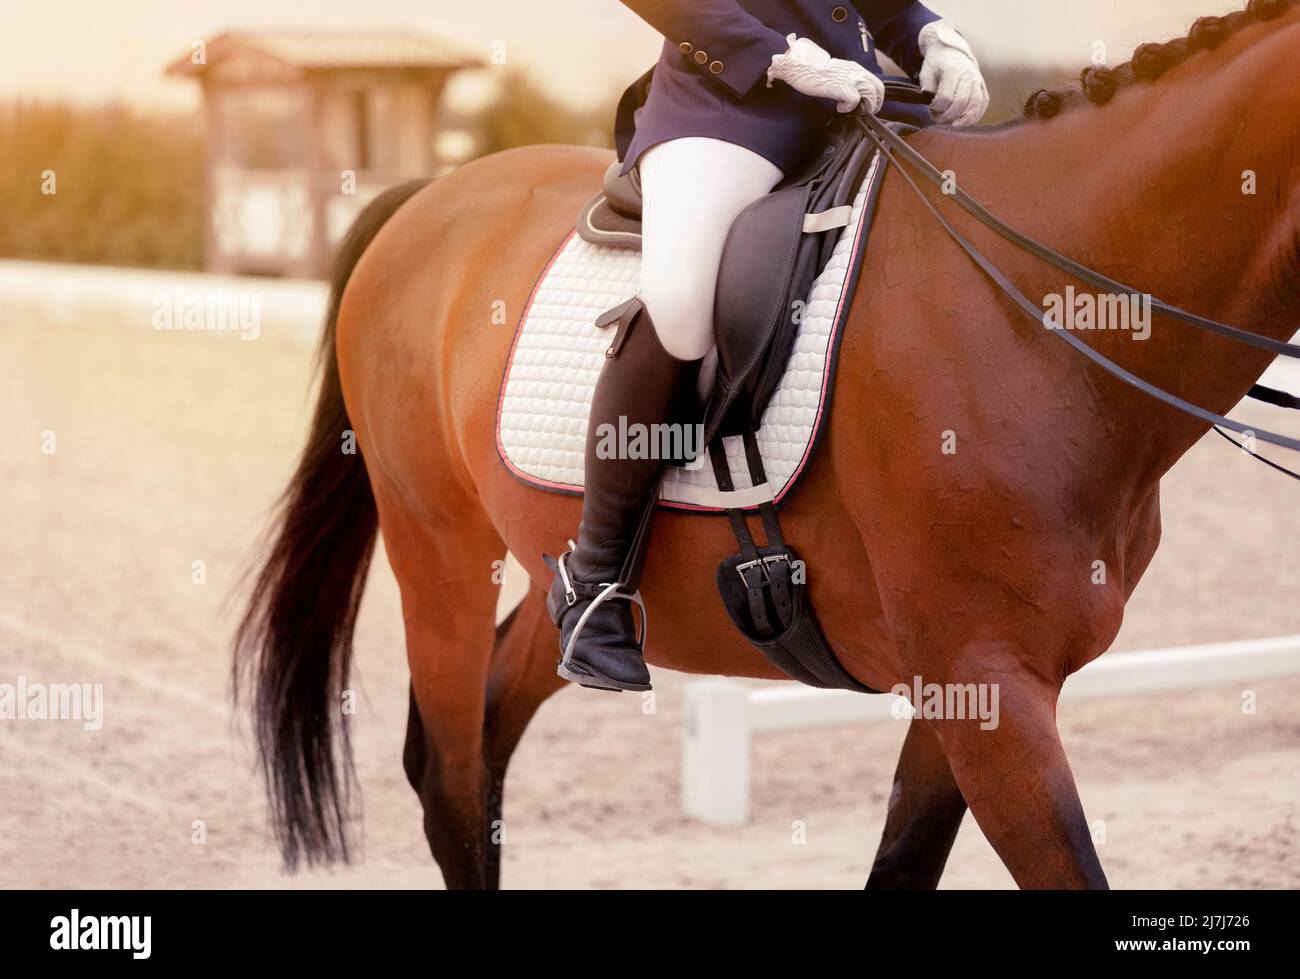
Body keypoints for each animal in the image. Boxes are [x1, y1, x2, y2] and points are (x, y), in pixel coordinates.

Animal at [236, 0, 1300, 889]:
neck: (1037, 311)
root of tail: (429, 197)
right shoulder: (988, 680)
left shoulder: (976, 689)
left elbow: (903, 865)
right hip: (438, 549)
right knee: (453, 778)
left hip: (553, 563)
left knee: (496, 727)